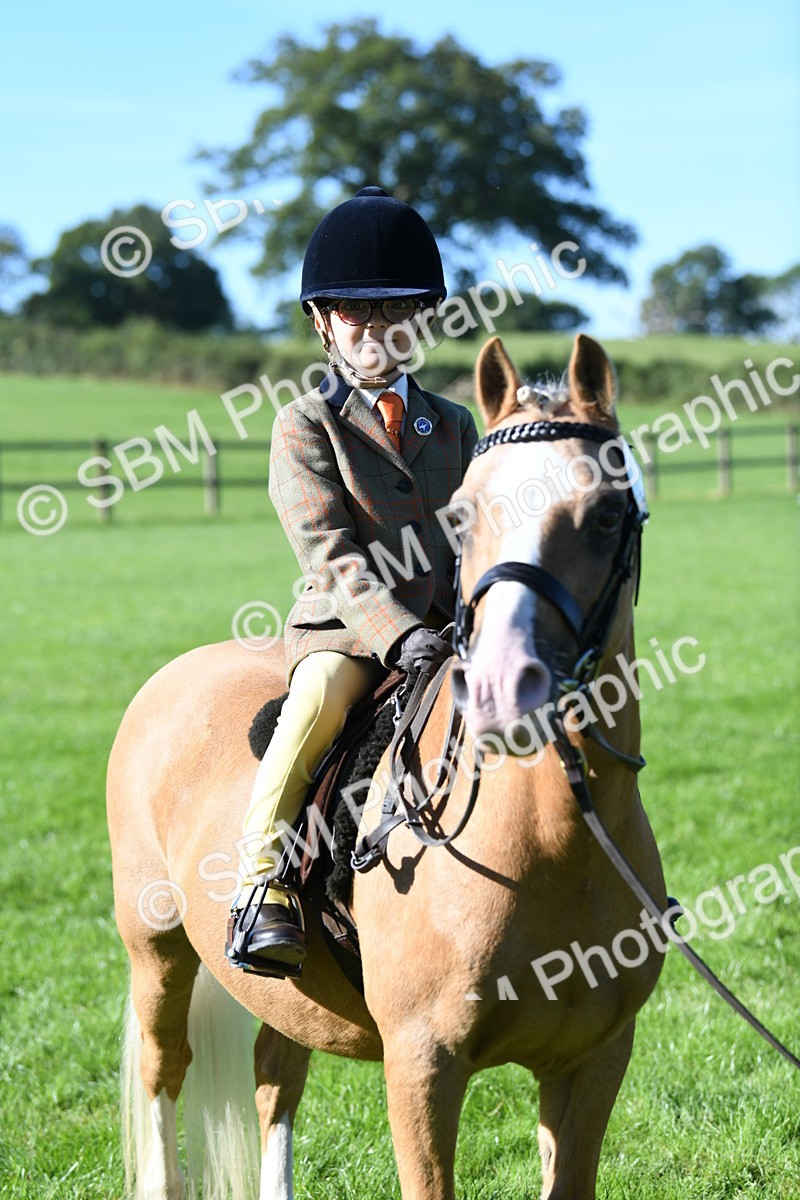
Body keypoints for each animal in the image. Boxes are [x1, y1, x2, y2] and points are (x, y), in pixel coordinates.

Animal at [108, 332, 667, 1200]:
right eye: (464, 516)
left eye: (607, 514)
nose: (501, 690)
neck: (552, 843)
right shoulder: (422, 1066)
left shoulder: (593, 1061)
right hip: (156, 948)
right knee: (165, 1072)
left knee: (275, 1076)